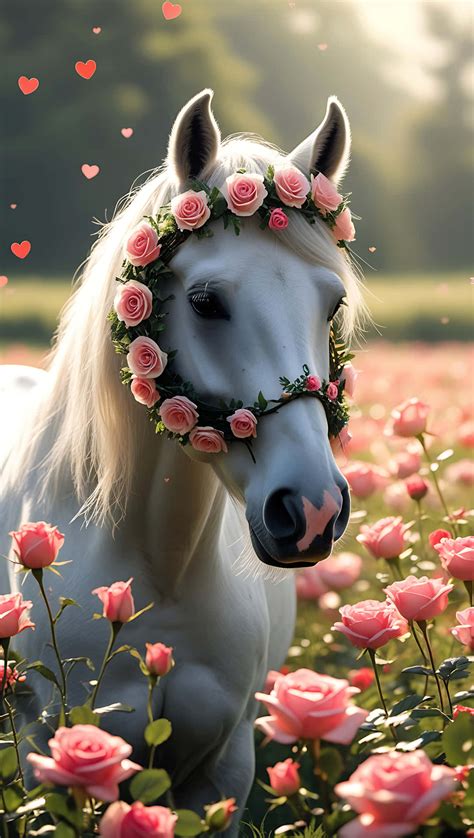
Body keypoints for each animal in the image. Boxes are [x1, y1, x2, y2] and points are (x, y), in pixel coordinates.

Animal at [0, 89, 364, 830]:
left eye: (333, 302)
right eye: (204, 301)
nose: (312, 510)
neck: (158, 571)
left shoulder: (225, 769)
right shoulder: (47, 762)